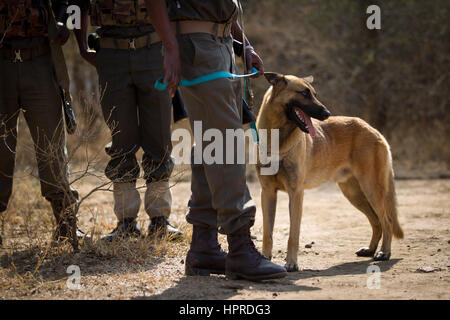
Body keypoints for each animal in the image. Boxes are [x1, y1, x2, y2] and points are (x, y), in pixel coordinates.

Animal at [255, 73, 406, 272]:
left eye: (314, 93)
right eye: (304, 93)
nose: (326, 114)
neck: (277, 140)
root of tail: (373, 129)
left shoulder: (296, 194)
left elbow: (293, 235)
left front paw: (292, 263)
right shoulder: (268, 193)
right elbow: (268, 233)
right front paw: (265, 259)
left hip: (371, 190)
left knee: (386, 220)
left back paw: (384, 253)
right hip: (354, 194)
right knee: (376, 221)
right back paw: (371, 249)